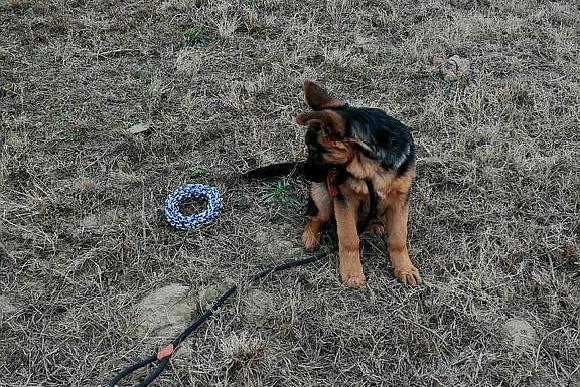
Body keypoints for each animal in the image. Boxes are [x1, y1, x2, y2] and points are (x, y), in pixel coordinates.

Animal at [294, 81, 422, 288]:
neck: (371, 168)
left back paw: (375, 224)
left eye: (314, 151)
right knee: (316, 217)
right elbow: (349, 239)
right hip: (322, 196)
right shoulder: (344, 200)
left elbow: (398, 238)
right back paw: (310, 236)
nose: (305, 174)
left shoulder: (400, 200)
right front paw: (352, 273)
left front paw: (404, 268)